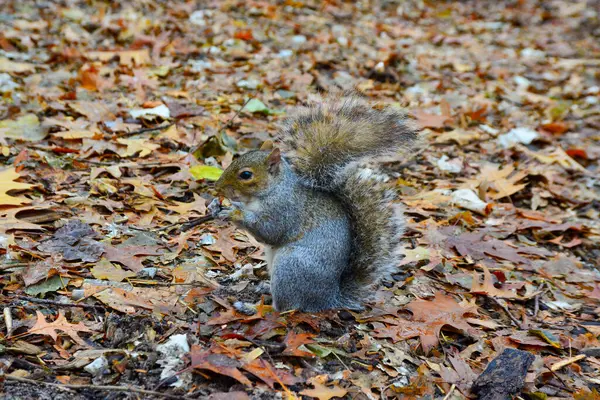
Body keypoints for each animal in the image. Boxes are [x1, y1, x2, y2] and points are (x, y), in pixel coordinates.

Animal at [214, 94, 418, 312]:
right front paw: (216, 206)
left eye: (246, 175)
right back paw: (264, 288)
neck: (270, 191)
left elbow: (270, 230)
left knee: (286, 307)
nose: (217, 187)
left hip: (290, 266)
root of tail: (328, 299)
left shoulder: (285, 209)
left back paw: (253, 307)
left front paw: (234, 213)